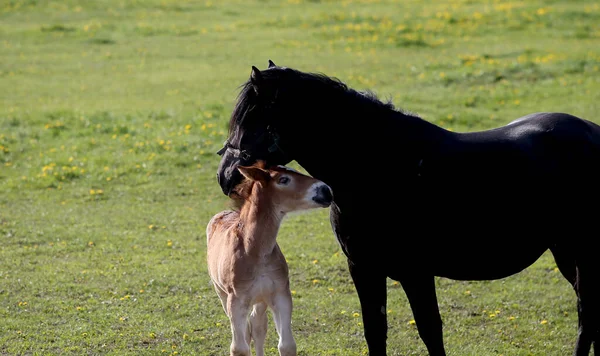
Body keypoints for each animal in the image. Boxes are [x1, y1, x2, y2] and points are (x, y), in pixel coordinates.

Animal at [204, 162, 330, 356]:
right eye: (283, 179)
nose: (326, 191)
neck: (256, 251)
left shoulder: (280, 294)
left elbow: (286, 344)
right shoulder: (236, 301)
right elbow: (239, 347)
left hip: (261, 298)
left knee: (258, 325)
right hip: (223, 295)